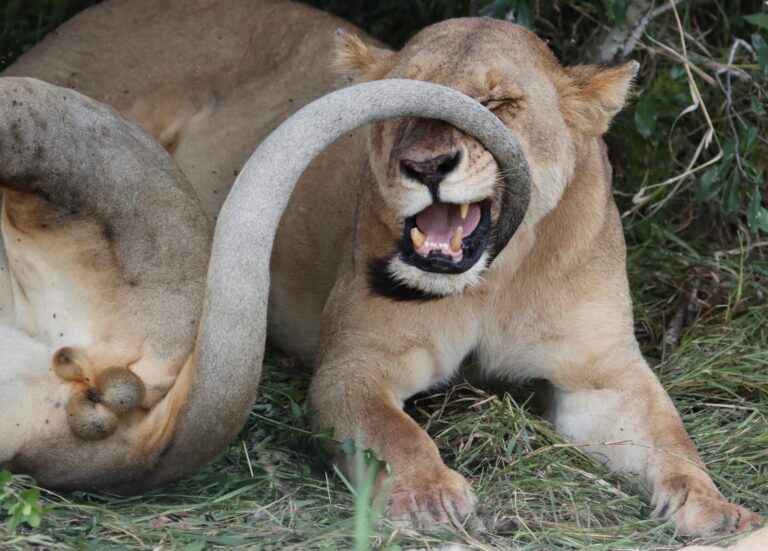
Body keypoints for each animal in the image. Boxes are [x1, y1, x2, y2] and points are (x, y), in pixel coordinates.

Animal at [3, 0, 762, 539]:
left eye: (499, 105)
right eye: (405, 99)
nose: (426, 165)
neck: (497, 278)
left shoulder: (600, 375)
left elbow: (671, 436)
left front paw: (716, 508)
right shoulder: (356, 364)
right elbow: (394, 431)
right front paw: (430, 496)